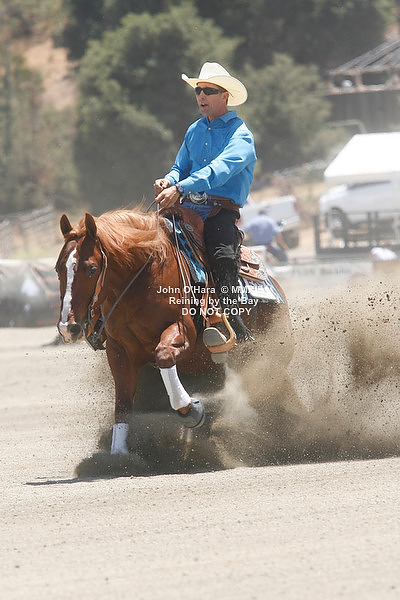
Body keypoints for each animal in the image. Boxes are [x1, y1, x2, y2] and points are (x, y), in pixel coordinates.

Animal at [55, 207, 295, 456]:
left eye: (92, 268)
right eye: (58, 268)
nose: (68, 328)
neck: (141, 278)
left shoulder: (183, 333)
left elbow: (164, 356)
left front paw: (192, 410)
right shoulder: (118, 351)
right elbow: (122, 402)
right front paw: (119, 454)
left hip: (265, 355)